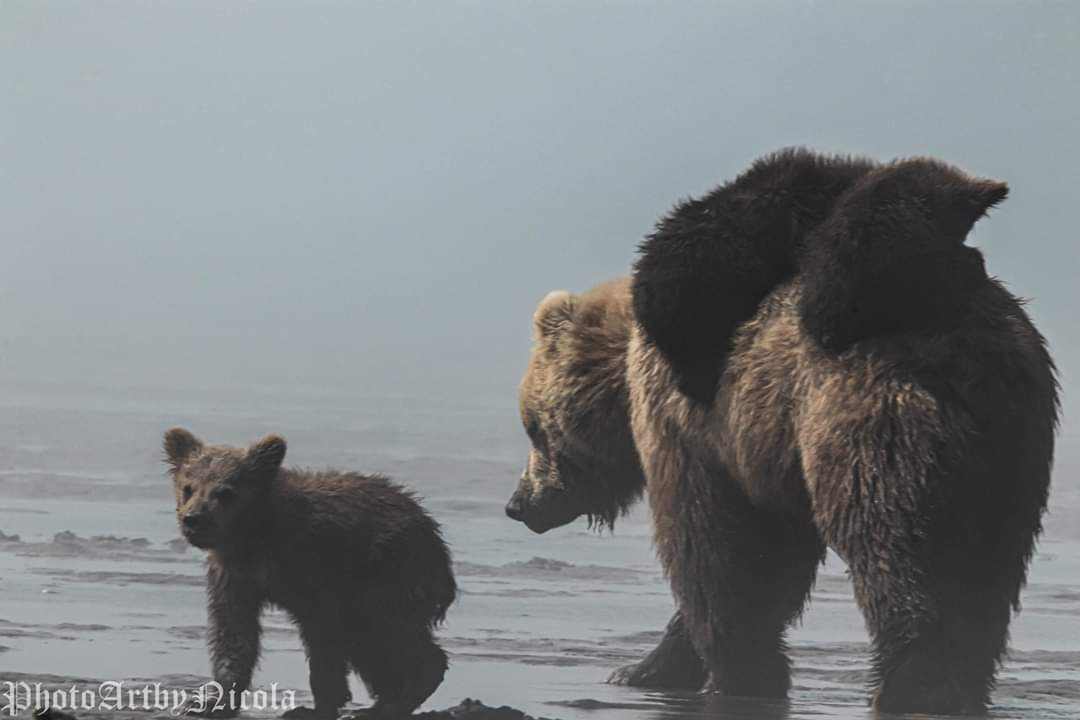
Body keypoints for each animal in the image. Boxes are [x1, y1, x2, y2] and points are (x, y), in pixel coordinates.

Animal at [164, 428, 456, 719]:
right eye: (188, 487)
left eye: (226, 492)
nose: (194, 517)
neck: (254, 536)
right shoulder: (235, 577)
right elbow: (234, 634)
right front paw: (209, 703)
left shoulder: (317, 569)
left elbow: (323, 639)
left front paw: (317, 705)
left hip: (389, 576)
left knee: (389, 634)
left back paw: (389, 703)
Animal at [505, 152, 1059, 715]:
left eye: (531, 425)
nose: (519, 503)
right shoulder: (770, 450)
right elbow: (771, 560)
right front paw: (648, 666)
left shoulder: (695, 430)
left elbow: (714, 551)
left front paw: (722, 672)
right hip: (1014, 449)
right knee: (989, 575)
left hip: (868, 419)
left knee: (896, 547)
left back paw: (907, 685)